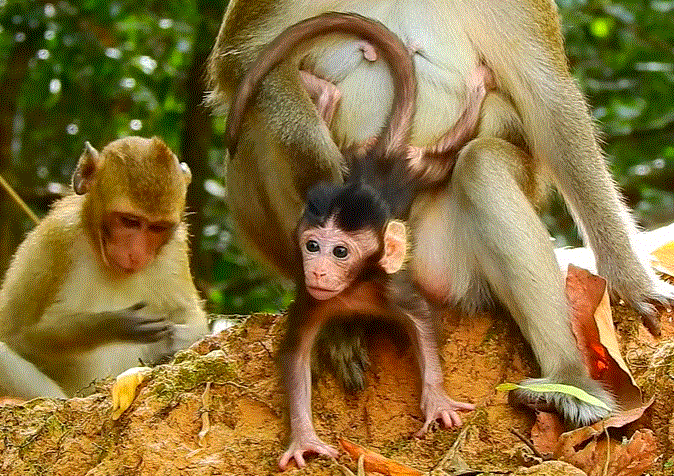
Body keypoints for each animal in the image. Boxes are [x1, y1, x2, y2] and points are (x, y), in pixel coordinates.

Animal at [0, 136, 208, 402]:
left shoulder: (175, 249)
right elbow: (19, 337)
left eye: (157, 227)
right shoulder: (57, 241)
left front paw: (178, 337)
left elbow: (190, 314)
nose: (136, 254)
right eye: (130, 221)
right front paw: (113, 324)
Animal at [207, 0, 674, 439]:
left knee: (483, 164)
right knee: (253, 118)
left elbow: (550, 105)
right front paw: (320, 158)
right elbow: (243, 61)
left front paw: (631, 280)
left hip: (448, 271)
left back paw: (567, 381)